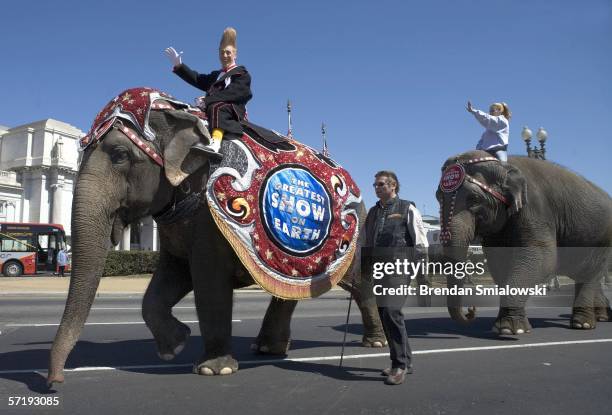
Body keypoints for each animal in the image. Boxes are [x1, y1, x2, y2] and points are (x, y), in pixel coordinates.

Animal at [47, 93, 384, 386]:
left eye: (120, 156)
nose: (55, 381)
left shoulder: (209, 217)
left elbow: (208, 283)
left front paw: (212, 370)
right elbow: (166, 283)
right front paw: (175, 345)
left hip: (351, 238)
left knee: (358, 282)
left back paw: (374, 342)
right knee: (287, 291)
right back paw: (268, 348)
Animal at [436, 151, 612, 336]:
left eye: (475, 199)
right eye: (438, 198)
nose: (471, 310)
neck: (503, 164)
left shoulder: (535, 209)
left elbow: (543, 260)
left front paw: (508, 329)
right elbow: (499, 264)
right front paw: (509, 327)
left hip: (602, 238)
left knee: (590, 273)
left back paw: (582, 324)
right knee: (588, 275)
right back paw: (601, 317)